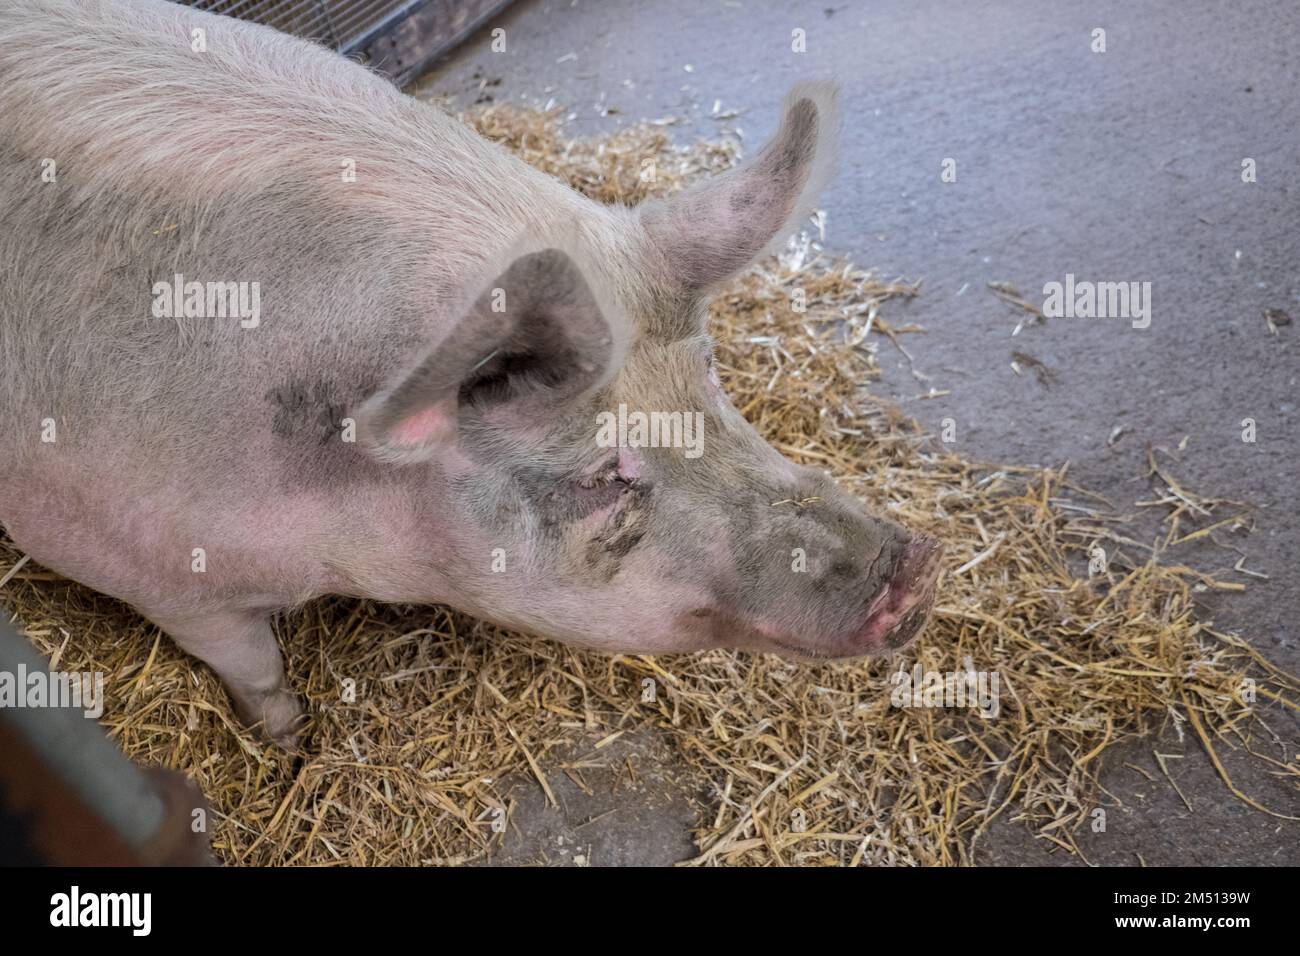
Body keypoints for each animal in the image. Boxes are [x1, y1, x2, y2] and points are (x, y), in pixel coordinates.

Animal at [0, 0, 935, 749]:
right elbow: (253, 664)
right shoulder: (146, 565)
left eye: (710, 383)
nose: (913, 566)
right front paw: (291, 740)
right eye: (602, 474)